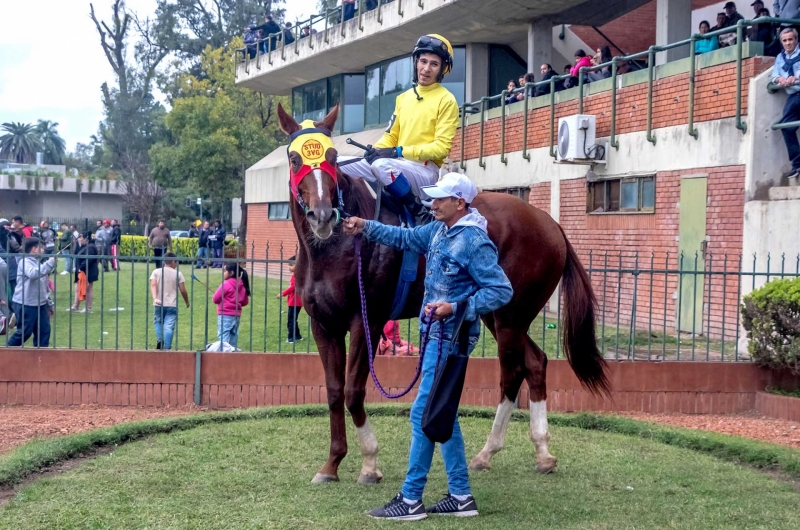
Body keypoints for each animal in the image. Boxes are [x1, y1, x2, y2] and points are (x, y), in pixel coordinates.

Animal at [276, 104, 608, 482]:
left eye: (331, 157)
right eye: (294, 159)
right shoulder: (323, 326)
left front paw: (370, 462)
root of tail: (549, 222)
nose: (321, 215)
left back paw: (492, 450)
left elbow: (353, 390)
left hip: (510, 316)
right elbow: (333, 392)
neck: (332, 248)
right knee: (535, 363)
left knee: (512, 372)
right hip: (496, 314)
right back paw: (535, 452)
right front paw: (332, 463)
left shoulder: (366, 322)